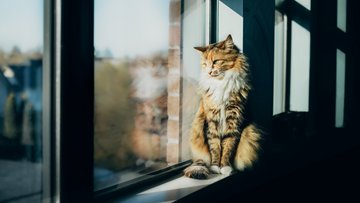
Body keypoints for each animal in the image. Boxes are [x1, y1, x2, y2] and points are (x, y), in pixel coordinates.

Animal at [184, 35, 260, 179]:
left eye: (216, 62)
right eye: (205, 64)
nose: (209, 72)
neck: (221, 84)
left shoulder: (234, 122)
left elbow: (227, 148)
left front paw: (225, 167)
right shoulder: (212, 122)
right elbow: (215, 147)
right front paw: (215, 167)